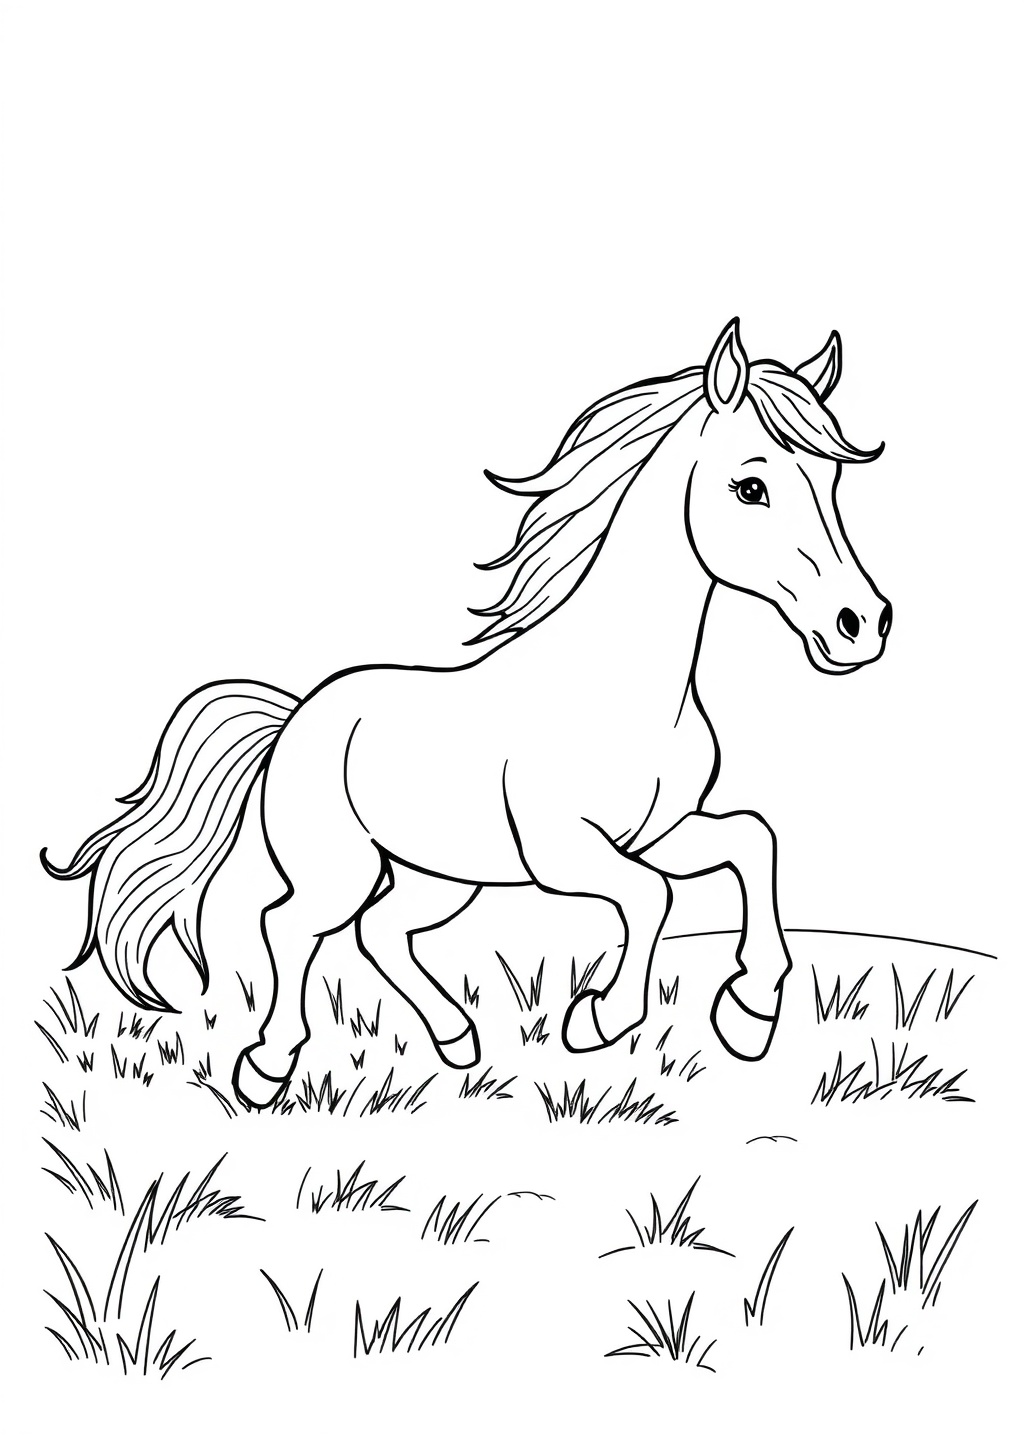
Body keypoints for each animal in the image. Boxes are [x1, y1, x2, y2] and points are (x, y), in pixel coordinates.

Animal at [43, 319, 892, 1110]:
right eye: (751, 488)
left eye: (832, 483)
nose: (862, 623)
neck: (621, 684)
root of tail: (294, 720)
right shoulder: (566, 853)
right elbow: (656, 897)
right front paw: (598, 1018)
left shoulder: (662, 831)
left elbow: (753, 842)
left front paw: (750, 1013)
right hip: (341, 869)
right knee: (291, 928)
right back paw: (268, 1068)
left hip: (440, 876)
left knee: (380, 932)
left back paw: (457, 1040)